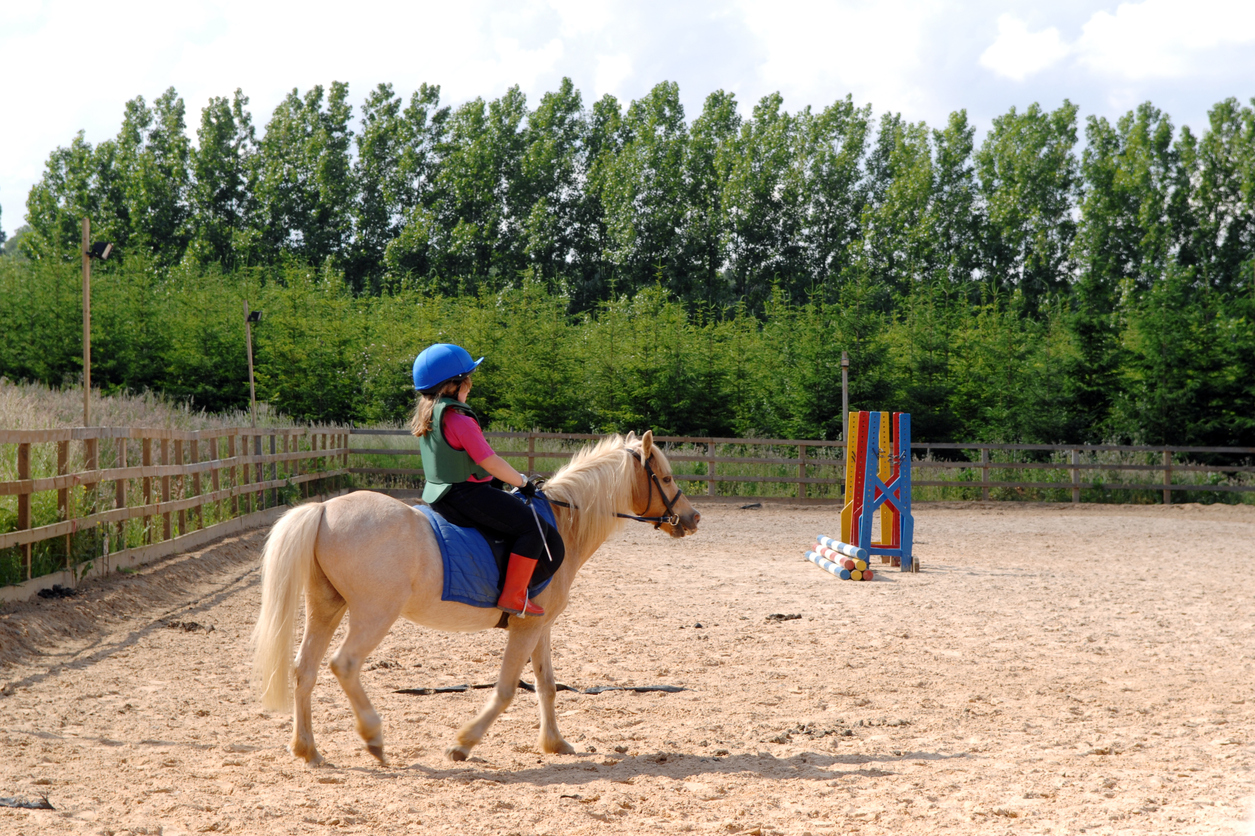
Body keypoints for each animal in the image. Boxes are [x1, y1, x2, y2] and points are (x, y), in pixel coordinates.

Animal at [249, 429, 702, 763]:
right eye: (664, 478)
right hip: (373, 614)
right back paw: (373, 738)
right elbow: (506, 689)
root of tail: (325, 509)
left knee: (304, 670)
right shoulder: (525, 627)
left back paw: (307, 749)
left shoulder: (540, 625)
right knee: (343, 665)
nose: (693, 517)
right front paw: (463, 743)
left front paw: (555, 744)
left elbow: (547, 684)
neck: (562, 523)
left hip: (326, 606)